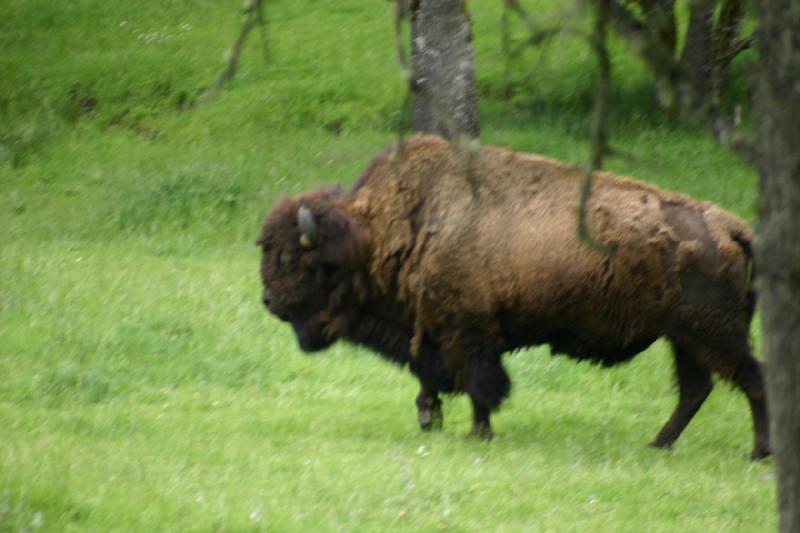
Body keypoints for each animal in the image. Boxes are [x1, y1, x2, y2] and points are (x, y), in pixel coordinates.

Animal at [256, 135, 768, 460]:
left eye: (293, 259)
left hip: (714, 334)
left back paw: (758, 452)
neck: (386, 228)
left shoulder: (468, 332)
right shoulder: (431, 331)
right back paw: (658, 444)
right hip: (683, 338)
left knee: (751, 379)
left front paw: (477, 433)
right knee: (696, 390)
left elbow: (481, 385)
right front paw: (430, 419)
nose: (268, 302)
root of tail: (733, 228)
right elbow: (429, 376)